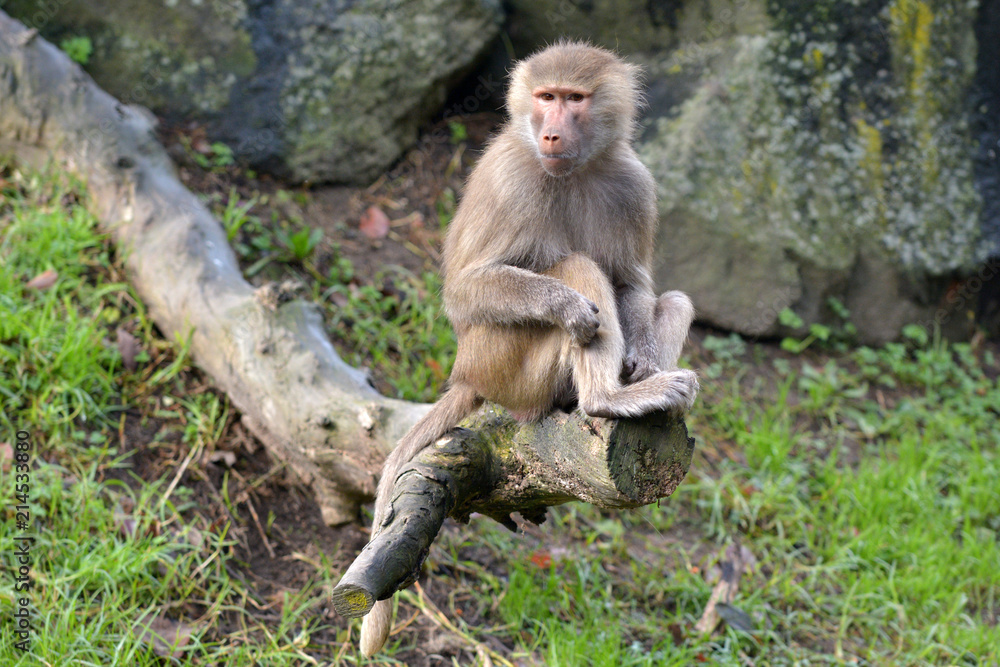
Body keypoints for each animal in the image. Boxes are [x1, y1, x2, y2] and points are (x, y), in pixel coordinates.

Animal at [358, 40, 698, 656]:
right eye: (546, 97)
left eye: (575, 99)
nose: (553, 135)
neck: (577, 170)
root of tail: (468, 373)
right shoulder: (511, 178)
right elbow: (465, 290)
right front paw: (569, 308)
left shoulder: (634, 183)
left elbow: (634, 284)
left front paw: (641, 361)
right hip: (506, 365)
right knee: (576, 269)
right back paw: (608, 399)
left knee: (676, 300)